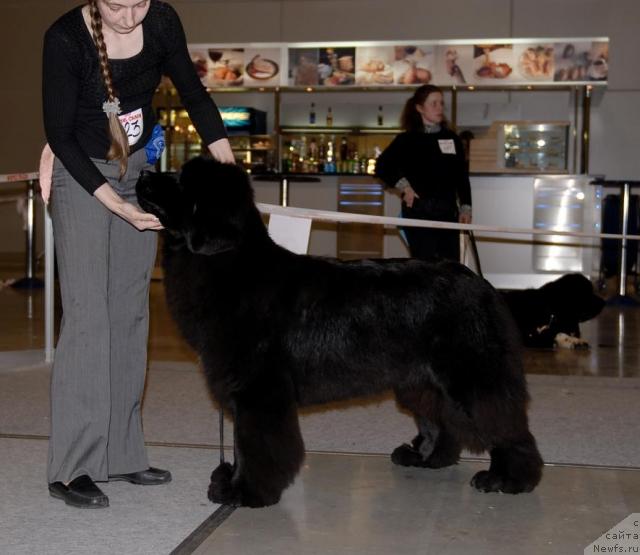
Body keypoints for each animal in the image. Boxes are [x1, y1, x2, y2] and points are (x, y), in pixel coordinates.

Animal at [138, 157, 544, 508]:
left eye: (181, 181)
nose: (142, 172)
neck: (232, 265)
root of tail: (481, 284)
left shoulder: (260, 390)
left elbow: (255, 444)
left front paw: (246, 492)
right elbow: (241, 443)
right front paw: (230, 481)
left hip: (471, 374)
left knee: (503, 422)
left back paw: (509, 479)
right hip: (420, 379)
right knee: (438, 419)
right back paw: (425, 457)